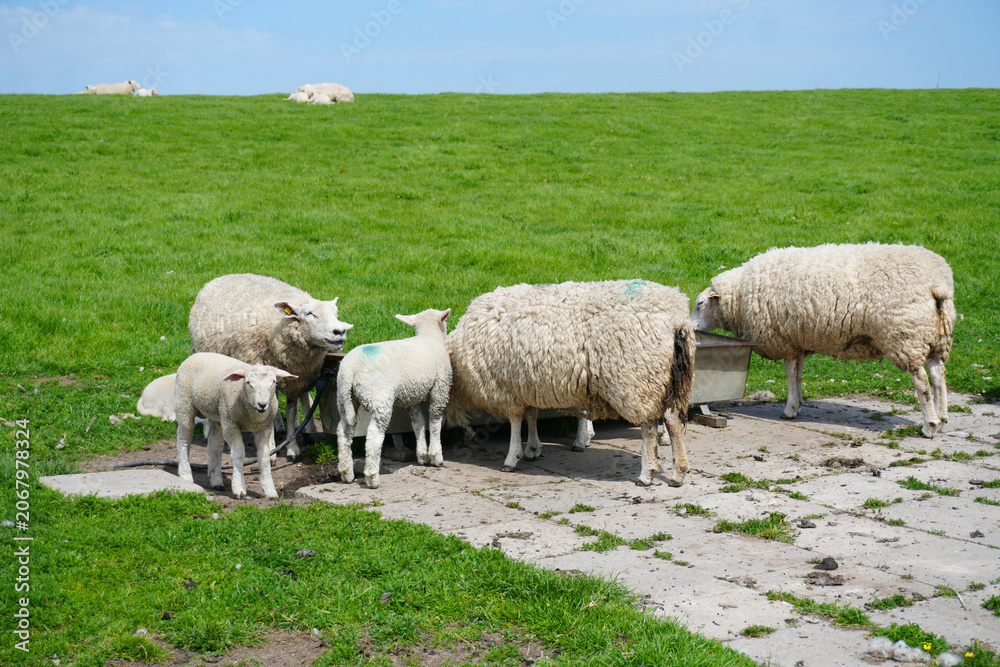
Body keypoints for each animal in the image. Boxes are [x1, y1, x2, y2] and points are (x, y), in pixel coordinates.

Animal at [174, 352, 297, 499]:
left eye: (273, 382)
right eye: (248, 383)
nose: (262, 404)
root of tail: (196, 354)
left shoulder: (264, 428)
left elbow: (264, 458)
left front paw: (270, 490)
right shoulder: (231, 425)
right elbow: (238, 454)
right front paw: (239, 489)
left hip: (218, 415)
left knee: (214, 446)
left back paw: (216, 481)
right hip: (185, 405)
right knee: (183, 441)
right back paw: (185, 475)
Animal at [189, 273, 353, 460]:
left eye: (336, 313)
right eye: (309, 314)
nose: (339, 332)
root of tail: (224, 276)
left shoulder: (295, 381)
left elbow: (291, 411)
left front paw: (292, 448)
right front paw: (271, 451)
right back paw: (208, 430)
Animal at [337, 308, 452, 489]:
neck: (430, 336)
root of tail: (351, 366)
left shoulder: (413, 394)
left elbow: (418, 423)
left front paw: (422, 455)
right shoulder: (440, 388)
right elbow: (434, 423)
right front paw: (436, 457)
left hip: (344, 398)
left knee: (344, 431)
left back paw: (346, 473)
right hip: (379, 398)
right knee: (373, 436)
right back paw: (372, 478)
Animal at [447, 280, 696, 487]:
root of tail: (675, 316)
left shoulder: (507, 389)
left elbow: (516, 421)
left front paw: (512, 457)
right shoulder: (529, 382)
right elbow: (532, 414)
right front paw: (533, 448)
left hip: (637, 380)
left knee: (648, 428)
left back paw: (647, 474)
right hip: (667, 379)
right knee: (673, 421)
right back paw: (679, 473)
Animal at [689, 243, 955, 437]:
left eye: (699, 304)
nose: (690, 329)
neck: (740, 295)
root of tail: (938, 283)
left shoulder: (784, 339)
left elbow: (789, 373)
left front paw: (789, 408)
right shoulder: (799, 340)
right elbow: (797, 374)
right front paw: (798, 404)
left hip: (904, 334)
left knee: (921, 380)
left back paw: (929, 426)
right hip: (936, 334)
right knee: (938, 374)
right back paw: (942, 418)